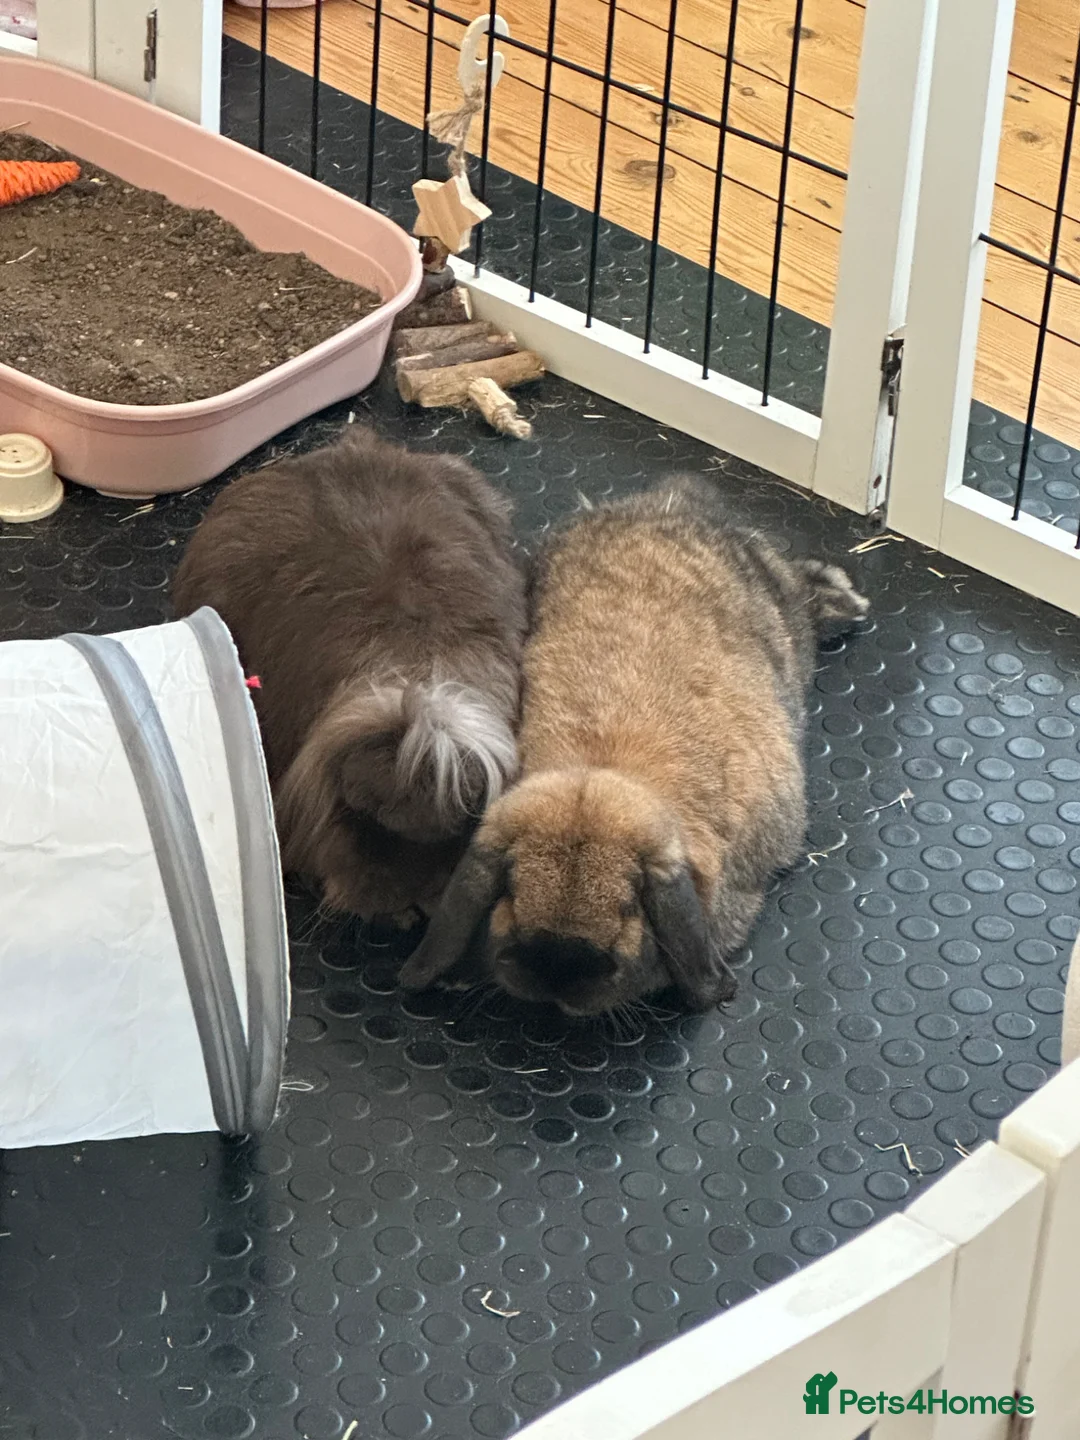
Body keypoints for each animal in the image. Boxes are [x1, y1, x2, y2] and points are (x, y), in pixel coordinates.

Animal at [399, 473, 869, 1014]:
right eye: (511, 890)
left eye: (630, 903)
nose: (557, 967)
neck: (598, 769)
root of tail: (670, 502)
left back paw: (845, 602)